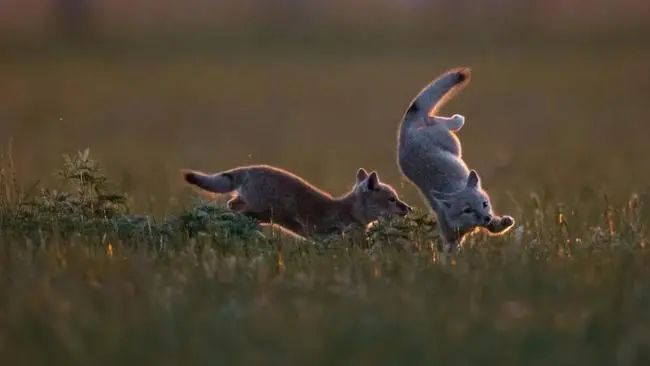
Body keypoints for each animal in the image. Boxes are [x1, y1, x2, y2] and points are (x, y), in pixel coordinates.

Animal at [181, 165, 410, 237]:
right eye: (392, 199)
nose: (408, 207)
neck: (348, 210)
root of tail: (250, 169)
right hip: (264, 210)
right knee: (236, 209)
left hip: (255, 207)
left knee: (232, 204)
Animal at [394, 68, 512, 250]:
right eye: (467, 210)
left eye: (484, 204)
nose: (486, 217)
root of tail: (406, 131)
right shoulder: (450, 236)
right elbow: (451, 250)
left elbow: (494, 228)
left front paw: (503, 222)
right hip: (450, 140)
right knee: (433, 118)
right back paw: (456, 120)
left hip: (453, 143)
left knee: (433, 118)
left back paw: (457, 119)